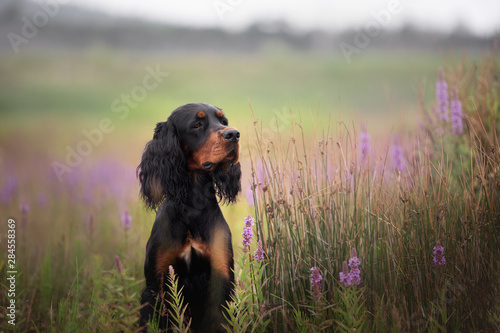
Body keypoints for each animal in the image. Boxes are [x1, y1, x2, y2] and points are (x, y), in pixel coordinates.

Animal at [136, 102, 239, 330]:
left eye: (223, 121)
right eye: (197, 124)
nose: (234, 134)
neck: (193, 204)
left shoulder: (221, 278)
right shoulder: (157, 284)